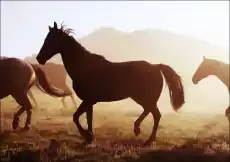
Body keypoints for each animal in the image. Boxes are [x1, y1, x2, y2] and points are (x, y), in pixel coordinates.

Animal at [36, 21, 185, 147]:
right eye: (46, 39)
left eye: (51, 40)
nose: (39, 58)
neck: (84, 67)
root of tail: (156, 67)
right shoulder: (89, 101)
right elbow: (84, 117)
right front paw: (89, 137)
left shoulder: (89, 100)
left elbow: (77, 117)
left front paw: (88, 136)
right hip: (142, 98)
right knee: (151, 112)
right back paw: (140, 131)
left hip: (145, 98)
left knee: (155, 114)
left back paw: (145, 136)